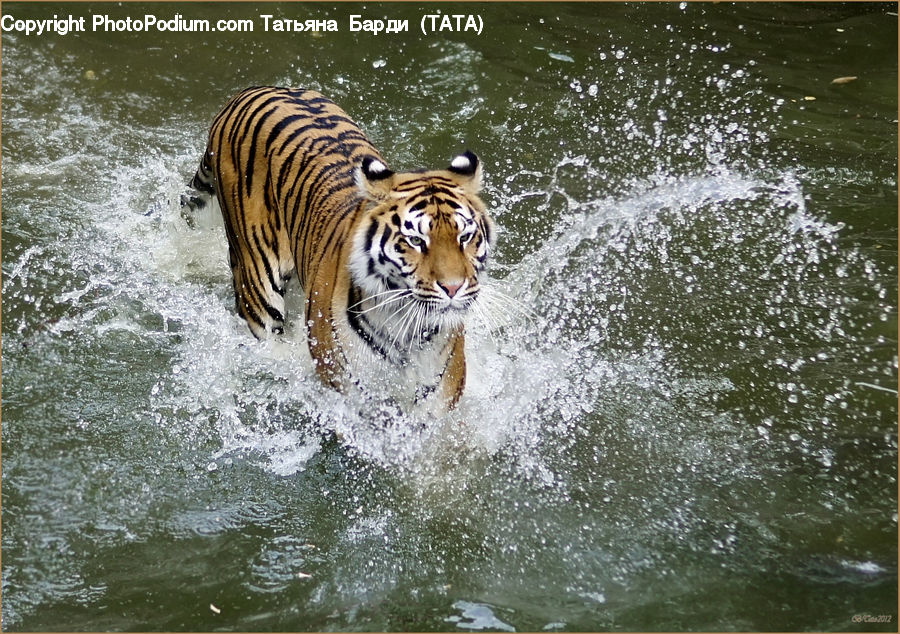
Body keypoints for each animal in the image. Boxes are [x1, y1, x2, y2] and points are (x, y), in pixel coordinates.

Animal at [188, 86, 495, 410]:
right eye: (415, 240)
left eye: (465, 237)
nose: (454, 288)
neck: (405, 329)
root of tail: (255, 90)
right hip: (257, 285)